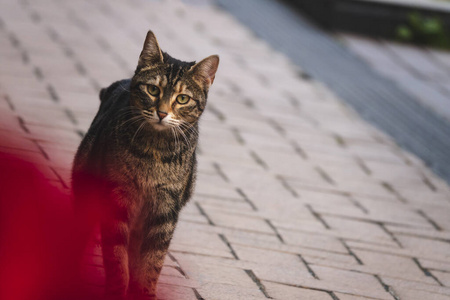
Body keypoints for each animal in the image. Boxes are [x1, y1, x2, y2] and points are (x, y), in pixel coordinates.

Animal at [72, 29, 220, 298]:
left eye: (183, 98)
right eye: (153, 89)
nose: (161, 113)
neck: (154, 151)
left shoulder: (165, 210)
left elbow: (151, 262)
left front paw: (143, 292)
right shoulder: (117, 198)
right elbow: (116, 257)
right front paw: (117, 290)